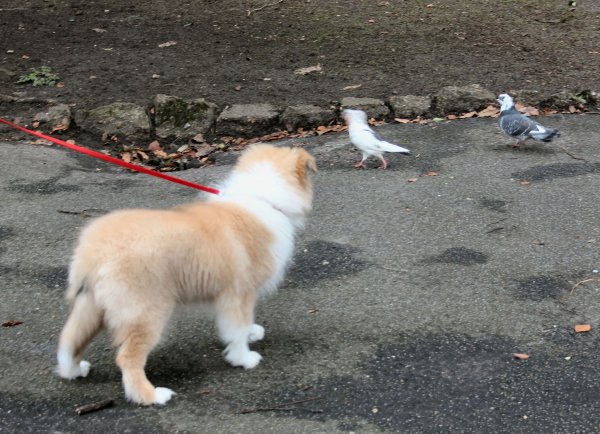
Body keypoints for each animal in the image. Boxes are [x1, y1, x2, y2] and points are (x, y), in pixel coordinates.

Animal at [55, 144, 316, 406]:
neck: (261, 197)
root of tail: (93, 251)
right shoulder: (239, 292)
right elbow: (237, 329)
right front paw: (244, 358)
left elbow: (240, 324)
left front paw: (252, 333)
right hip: (146, 311)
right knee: (127, 358)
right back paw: (152, 395)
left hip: (92, 305)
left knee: (70, 340)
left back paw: (74, 370)